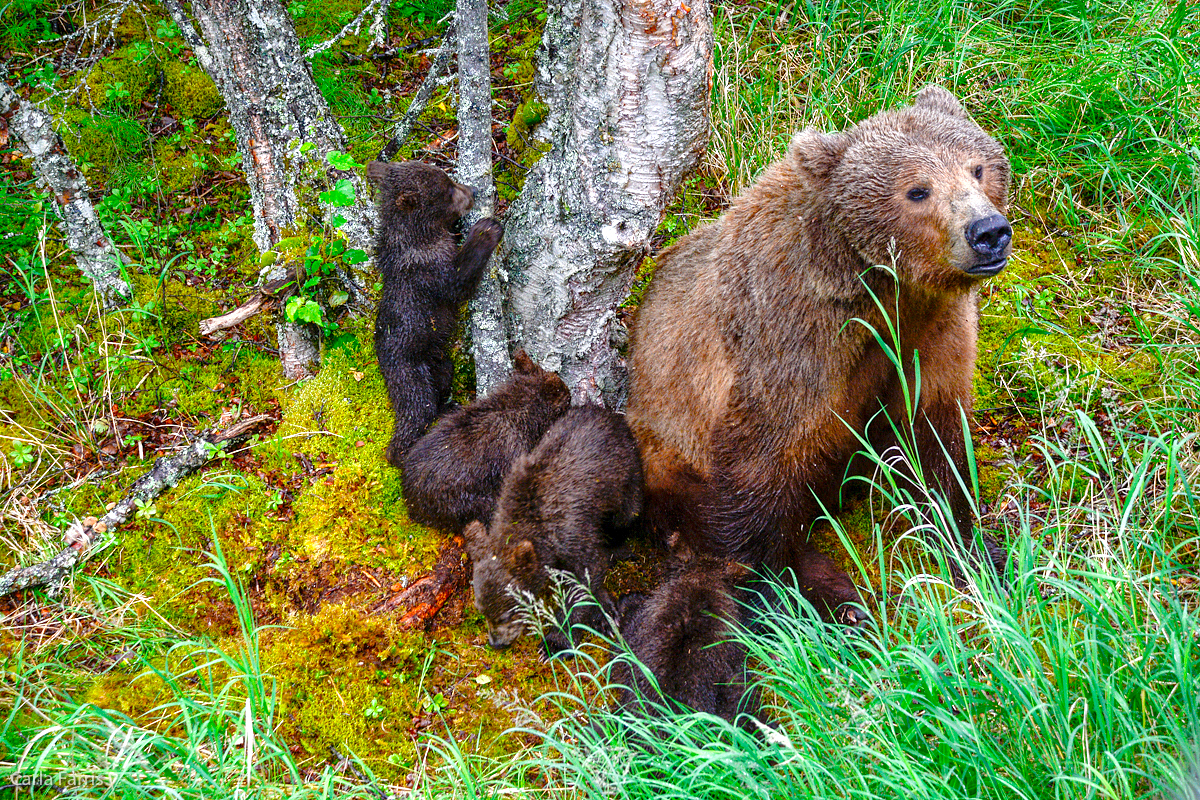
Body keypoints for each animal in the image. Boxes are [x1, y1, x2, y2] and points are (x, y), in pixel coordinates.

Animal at [362, 158, 499, 465]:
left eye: (449, 179)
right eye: (447, 191)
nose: (472, 191)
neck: (421, 236)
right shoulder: (427, 270)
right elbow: (456, 283)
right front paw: (486, 230)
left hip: (438, 361)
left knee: (443, 379)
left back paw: (449, 406)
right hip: (409, 369)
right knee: (416, 409)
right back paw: (404, 451)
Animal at [463, 407, 648, 657]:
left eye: (507, 613)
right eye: (482, 611)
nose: (496, 643)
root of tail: (609, 414)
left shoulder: (572, 531)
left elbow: (585, 576)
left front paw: (555, 641)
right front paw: (602, 611)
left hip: (626, 475)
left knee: (626, 515)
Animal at [628, 89, 1012, 623]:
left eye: (978, 167)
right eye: (917, 190)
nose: (988, 231)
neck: (882, 290)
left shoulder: (933, 329)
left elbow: (934, 436)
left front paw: (977, 548)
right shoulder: (792, 339)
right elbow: (761, 470)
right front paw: (788, 592)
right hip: (665, 454)